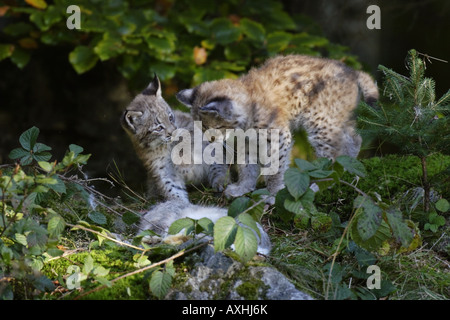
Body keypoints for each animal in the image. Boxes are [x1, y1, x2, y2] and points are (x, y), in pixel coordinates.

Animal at [178, 53, 378, 198]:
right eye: (201, 128)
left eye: (214, 128)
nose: (209, 142)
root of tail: (351, 71)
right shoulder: (246, 142)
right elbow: (247, 166)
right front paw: (243, 187)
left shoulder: (277, 137)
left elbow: (275, 168)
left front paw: (272, 193)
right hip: (336, 118)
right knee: (355, 138)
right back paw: (350, 170)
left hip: (320, 121)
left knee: (332, 153)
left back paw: (320, 185)